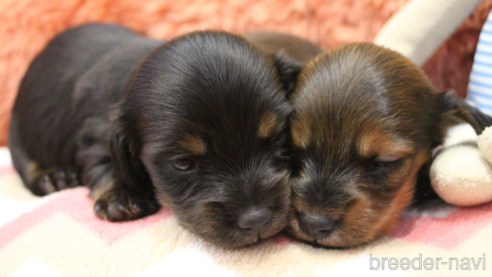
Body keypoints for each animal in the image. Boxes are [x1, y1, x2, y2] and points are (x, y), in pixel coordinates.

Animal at [9, 23, 306, 248]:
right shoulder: (97, 133)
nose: (256, 220)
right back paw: (54, 176)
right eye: (183, 163)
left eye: (277, 139)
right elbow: (101, 163)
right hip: (19, 134)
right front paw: (121, 196)